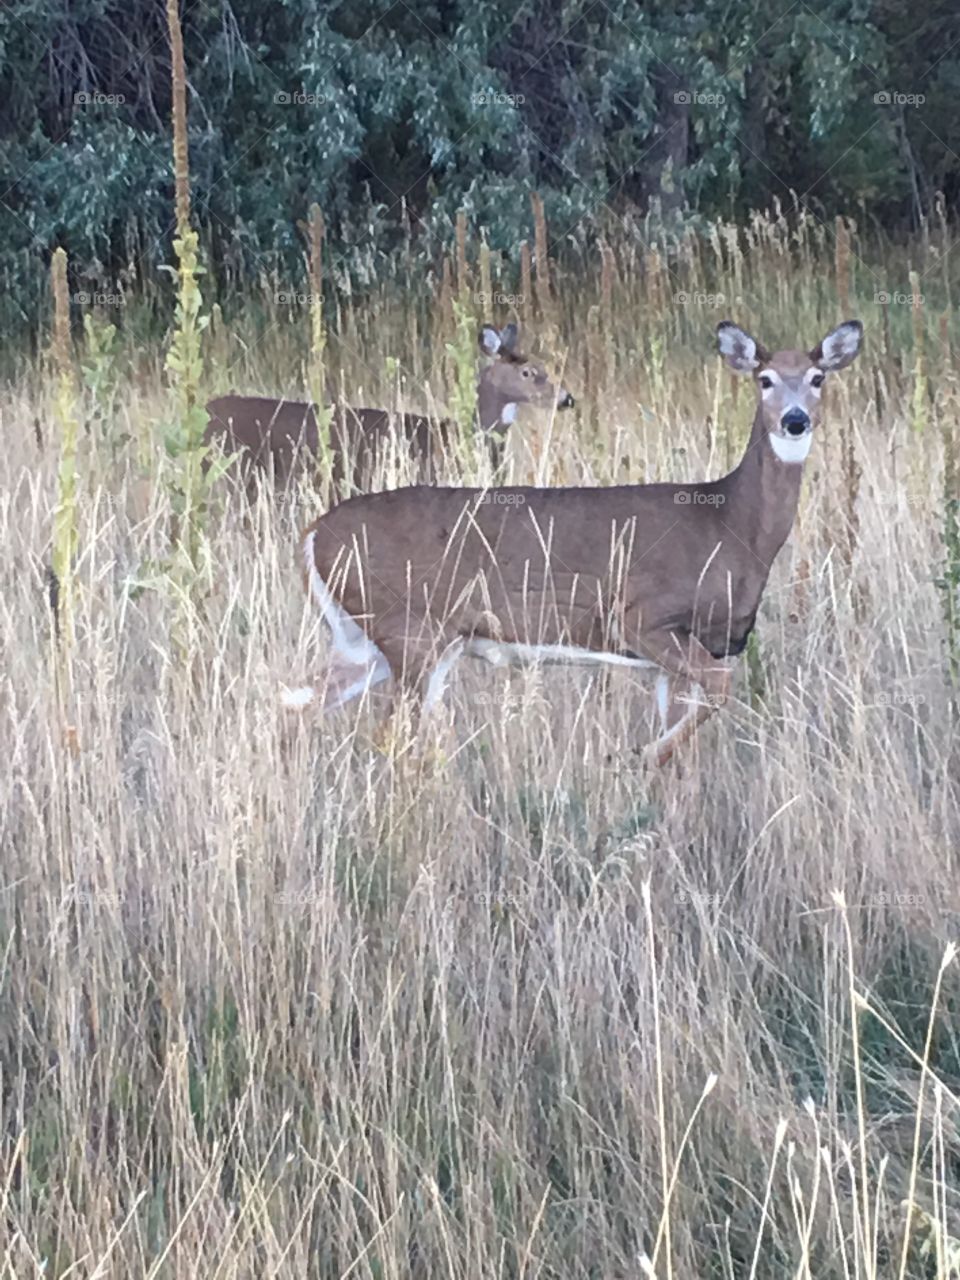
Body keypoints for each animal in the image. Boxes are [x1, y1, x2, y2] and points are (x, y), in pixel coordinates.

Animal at [282, 319, 863, 766]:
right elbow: (719, 690)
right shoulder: (642, 617)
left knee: (296, 702)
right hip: (411, 631)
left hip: (365, 641)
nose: (795, 420)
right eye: (764, 379)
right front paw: (637, 755)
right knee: (388, 733)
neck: (731, 525)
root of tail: (313, 535)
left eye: (817, 377)